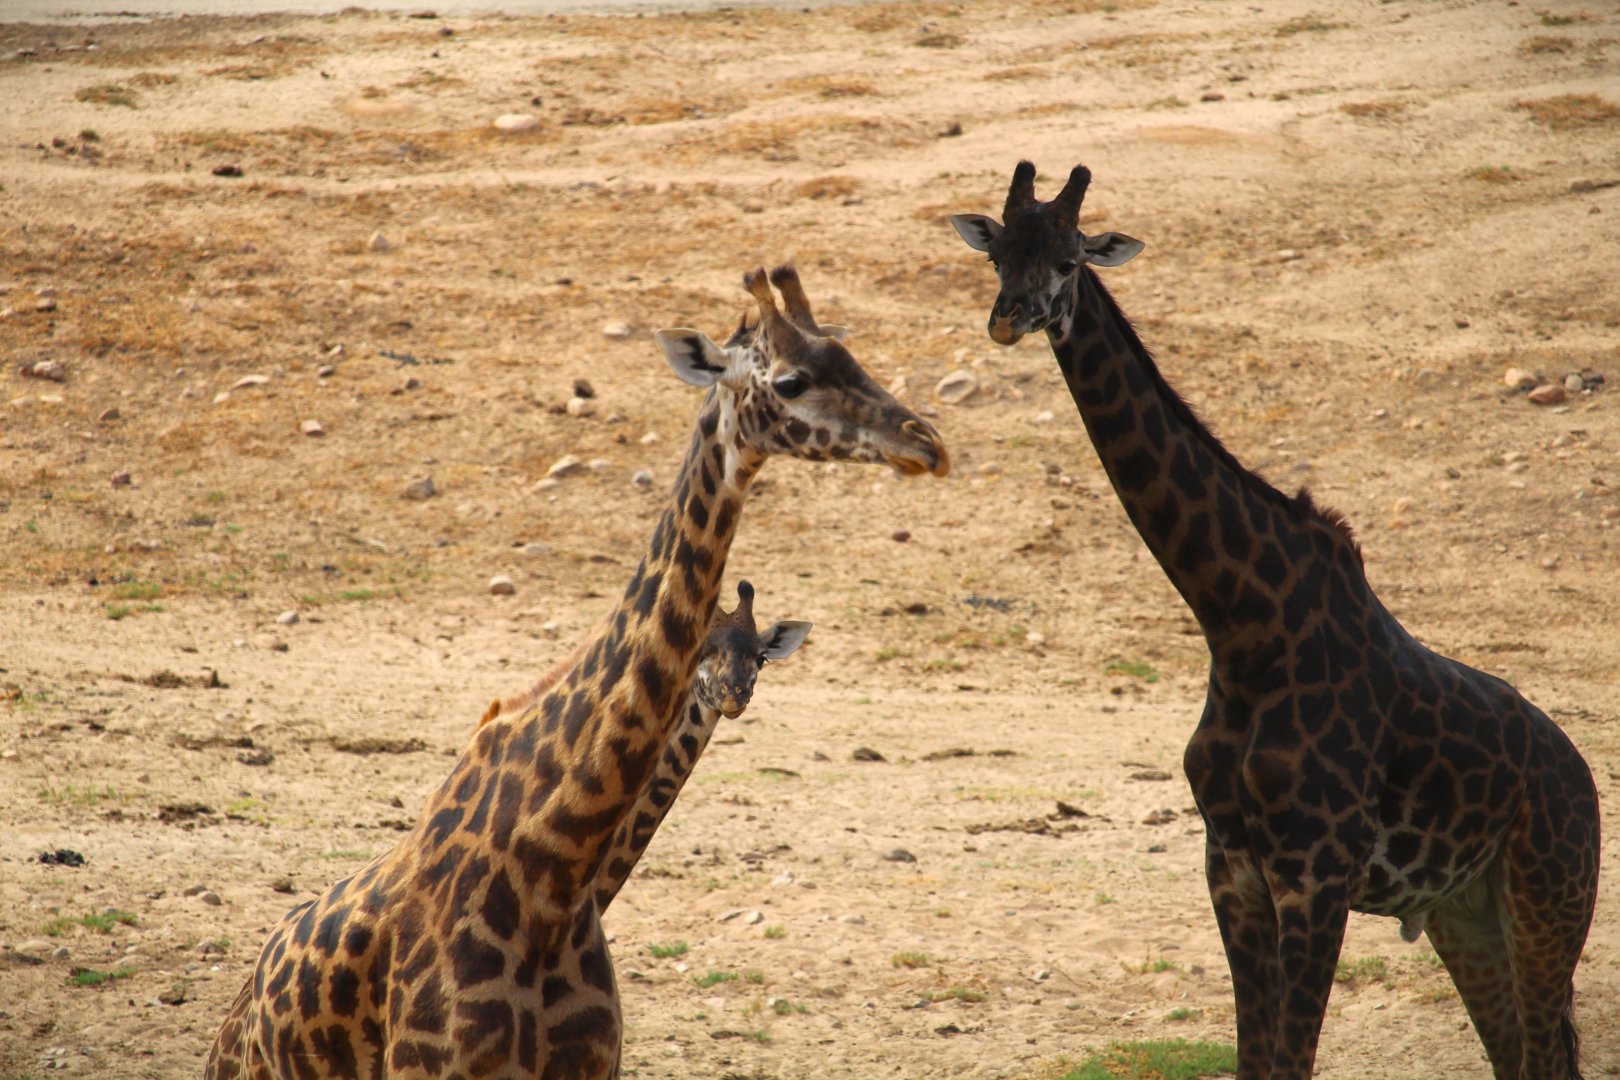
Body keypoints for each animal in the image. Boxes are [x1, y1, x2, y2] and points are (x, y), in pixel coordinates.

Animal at [204, 265, 947, 1080]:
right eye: (790, 380)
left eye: (853, 355)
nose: (927, 444)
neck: (553, 870)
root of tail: (238, 1015)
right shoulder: (434, 1067)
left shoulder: (593, 1064)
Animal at [949, 162, 1600, 1079]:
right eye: (997, 252)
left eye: (1071, 259)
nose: (1008, 318)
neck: (1244, 625)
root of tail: (1583, 784)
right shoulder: (1233, 870)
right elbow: (1256, 1058)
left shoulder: (1316, 878)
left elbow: (1291, 1059)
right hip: (1464, 912)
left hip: (1549, 902)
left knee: (1548, 1053)